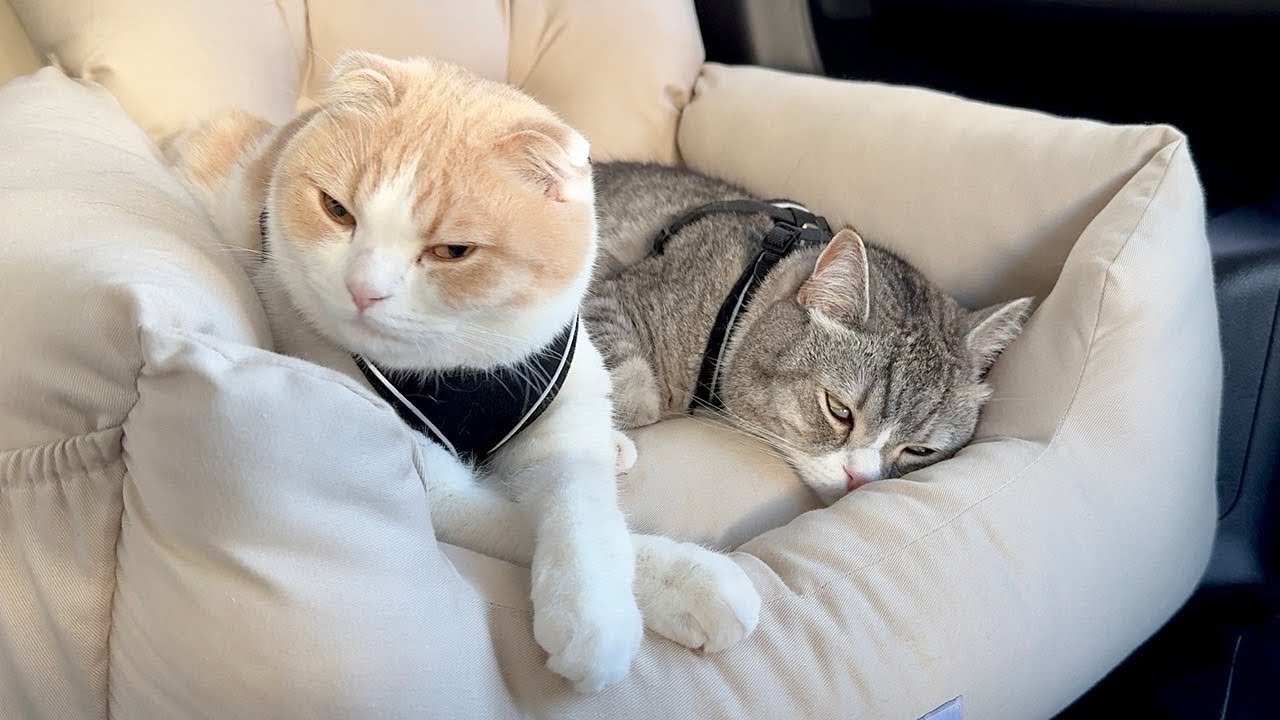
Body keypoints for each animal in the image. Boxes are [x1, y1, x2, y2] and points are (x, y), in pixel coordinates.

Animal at [163, 53, 759, 692]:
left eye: (453, 252)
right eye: (336, 210)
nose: (363, 289)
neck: (461, 371)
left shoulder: (565, 405)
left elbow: (585, 510)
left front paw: (603, 603)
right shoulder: (436, 486)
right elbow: (527, 523)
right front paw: (670, 594)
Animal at [585, 162, 1032, 506]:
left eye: (920, 450)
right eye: (839, 409)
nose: (858, 480)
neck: (745, 288)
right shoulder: (605, 296)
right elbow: (636, 391)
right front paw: (606, 441)